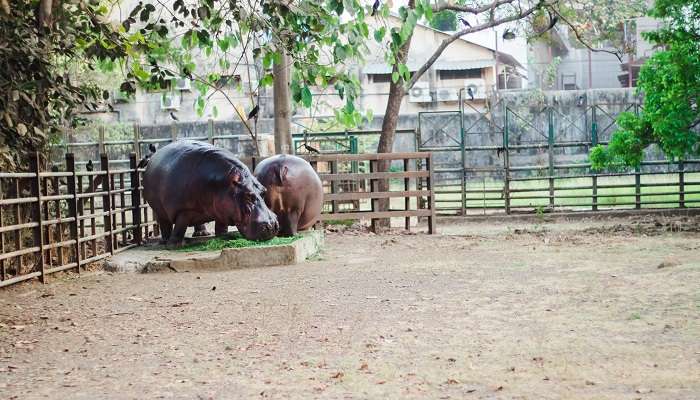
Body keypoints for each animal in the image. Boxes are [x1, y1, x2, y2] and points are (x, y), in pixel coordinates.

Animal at [142, 141, 278, 247]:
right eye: (248, 195)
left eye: (264, 191)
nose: (272, 225)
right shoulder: (183, 210)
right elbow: (180, 226)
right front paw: (175, 245)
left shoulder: (223, 208)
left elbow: (221, 224)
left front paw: (223, 236)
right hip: (159, 209)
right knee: (165, 223)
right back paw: (165, 241)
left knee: (198, 221)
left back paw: (202, 234)